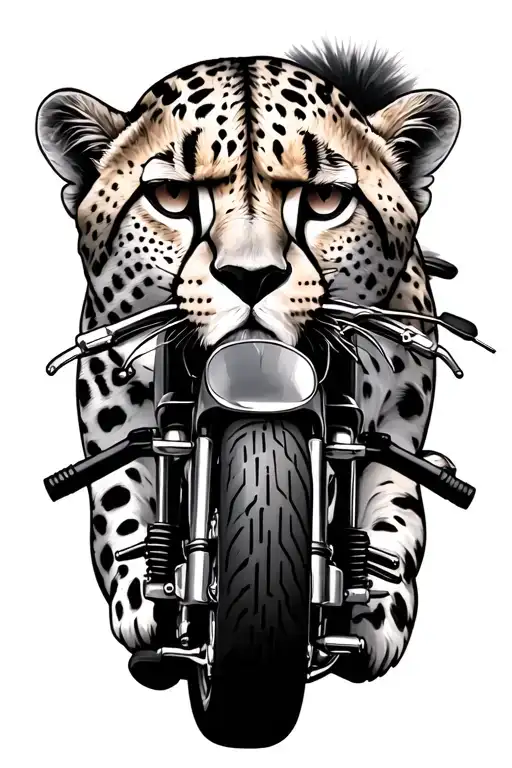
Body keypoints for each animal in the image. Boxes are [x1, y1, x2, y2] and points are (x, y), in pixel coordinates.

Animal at [36, 40, 460, 682]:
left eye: (326, 200)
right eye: (172, 198)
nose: (251, 277)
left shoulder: (393, 421)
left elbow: (392, 501)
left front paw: (375, 606)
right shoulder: (117, 408)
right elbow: (121, 493)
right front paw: (150, 602)